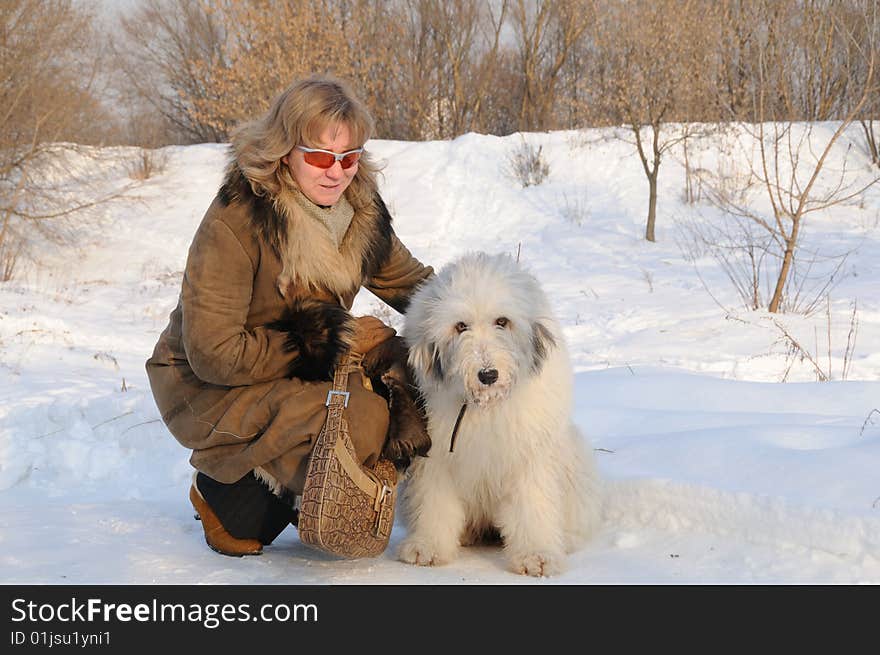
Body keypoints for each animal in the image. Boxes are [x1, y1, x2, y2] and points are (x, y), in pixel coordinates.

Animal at [400, 254, 600, 576]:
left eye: (502, 322)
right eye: (460, 326)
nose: (487, 375)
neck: (486, 407)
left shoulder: (529, 455)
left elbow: (533, 504)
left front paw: (537, 556)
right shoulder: (436, 457)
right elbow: (434, 501)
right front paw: (427, 547)